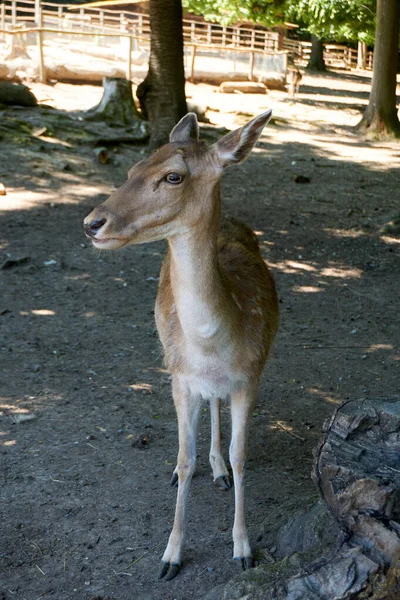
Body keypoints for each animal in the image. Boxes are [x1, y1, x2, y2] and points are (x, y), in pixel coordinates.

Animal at [83, 110, 280, 580]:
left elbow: (242, 455)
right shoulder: (180, 376)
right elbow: (185, 458)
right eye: (132, 169)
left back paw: (219, 468)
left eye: (173, 176)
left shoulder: (251, 376)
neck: (212, 346)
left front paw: (243, 549)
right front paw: (171, 555)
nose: (92, 223)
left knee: (216, 406)